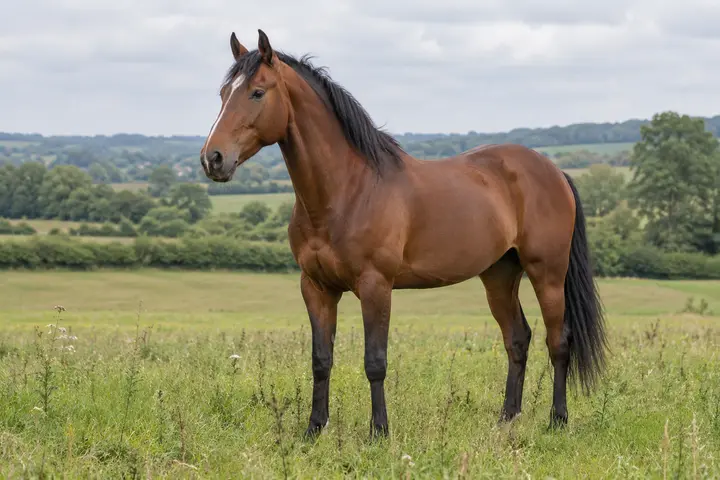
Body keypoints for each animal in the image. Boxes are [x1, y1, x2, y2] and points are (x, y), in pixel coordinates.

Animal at [200, 29, 608, 439]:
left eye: (257, 92)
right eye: (222, 93)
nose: (212, 159)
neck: (348, 191)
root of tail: (554, 171)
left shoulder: (376, 286)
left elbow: (375, 361)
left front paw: (379, 431)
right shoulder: (316, 287)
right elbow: (321, 359)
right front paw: (314, 429)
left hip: (547, 273)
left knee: (558, 341)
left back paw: (557, 420)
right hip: (499, 274)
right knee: (518, 339)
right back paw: (506, 419)